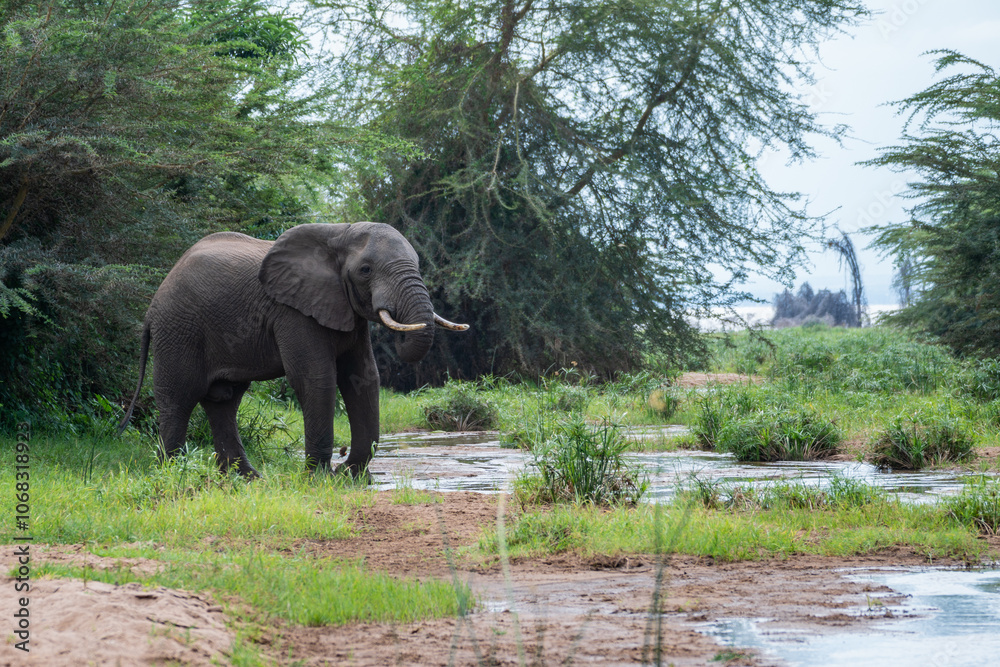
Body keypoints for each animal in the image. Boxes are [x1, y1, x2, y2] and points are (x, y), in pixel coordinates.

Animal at [117, 222, 468, 477]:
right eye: (365, 270)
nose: (341, 466)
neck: (338, 232)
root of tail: (153, 303)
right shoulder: (292, 311)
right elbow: (315, 378)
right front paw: (321, 479)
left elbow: (363, 378)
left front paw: (351, 478)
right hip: (178, 330)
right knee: (179, 399)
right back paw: (174, 474)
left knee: (223, 401)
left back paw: (246, 480)